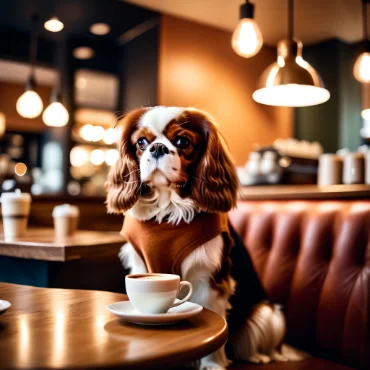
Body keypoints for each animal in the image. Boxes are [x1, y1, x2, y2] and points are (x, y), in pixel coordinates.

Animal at [105, 105, 306, 368]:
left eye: (182, 141)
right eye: (141, 142)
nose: (157, 148)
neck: (167, 209)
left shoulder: (208, 279)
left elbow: (214, 323)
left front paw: (212, 364)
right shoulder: (141, 266)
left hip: (267, 314)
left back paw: (262, 355)